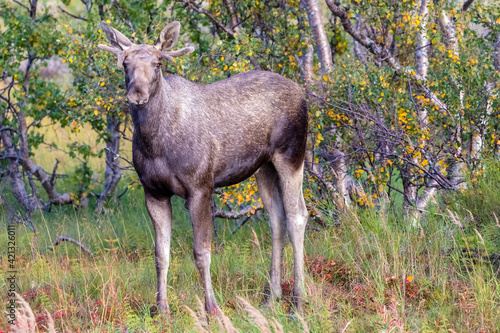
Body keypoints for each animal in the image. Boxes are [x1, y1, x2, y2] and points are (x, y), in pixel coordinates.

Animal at [97, 21, 308, 314]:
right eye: (125, 63)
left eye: (158, 63)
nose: (137, 94)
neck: (155, 144)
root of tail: (302, 93)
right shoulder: (154, 192)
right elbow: (161, 255)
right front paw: (161, 309)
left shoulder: (200, 187)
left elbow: (201, 252)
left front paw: (212, 307)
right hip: (263, 167)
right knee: (276, 219)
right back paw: (271, 297)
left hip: (291, 155)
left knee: (297, 215)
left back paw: (298, 302)